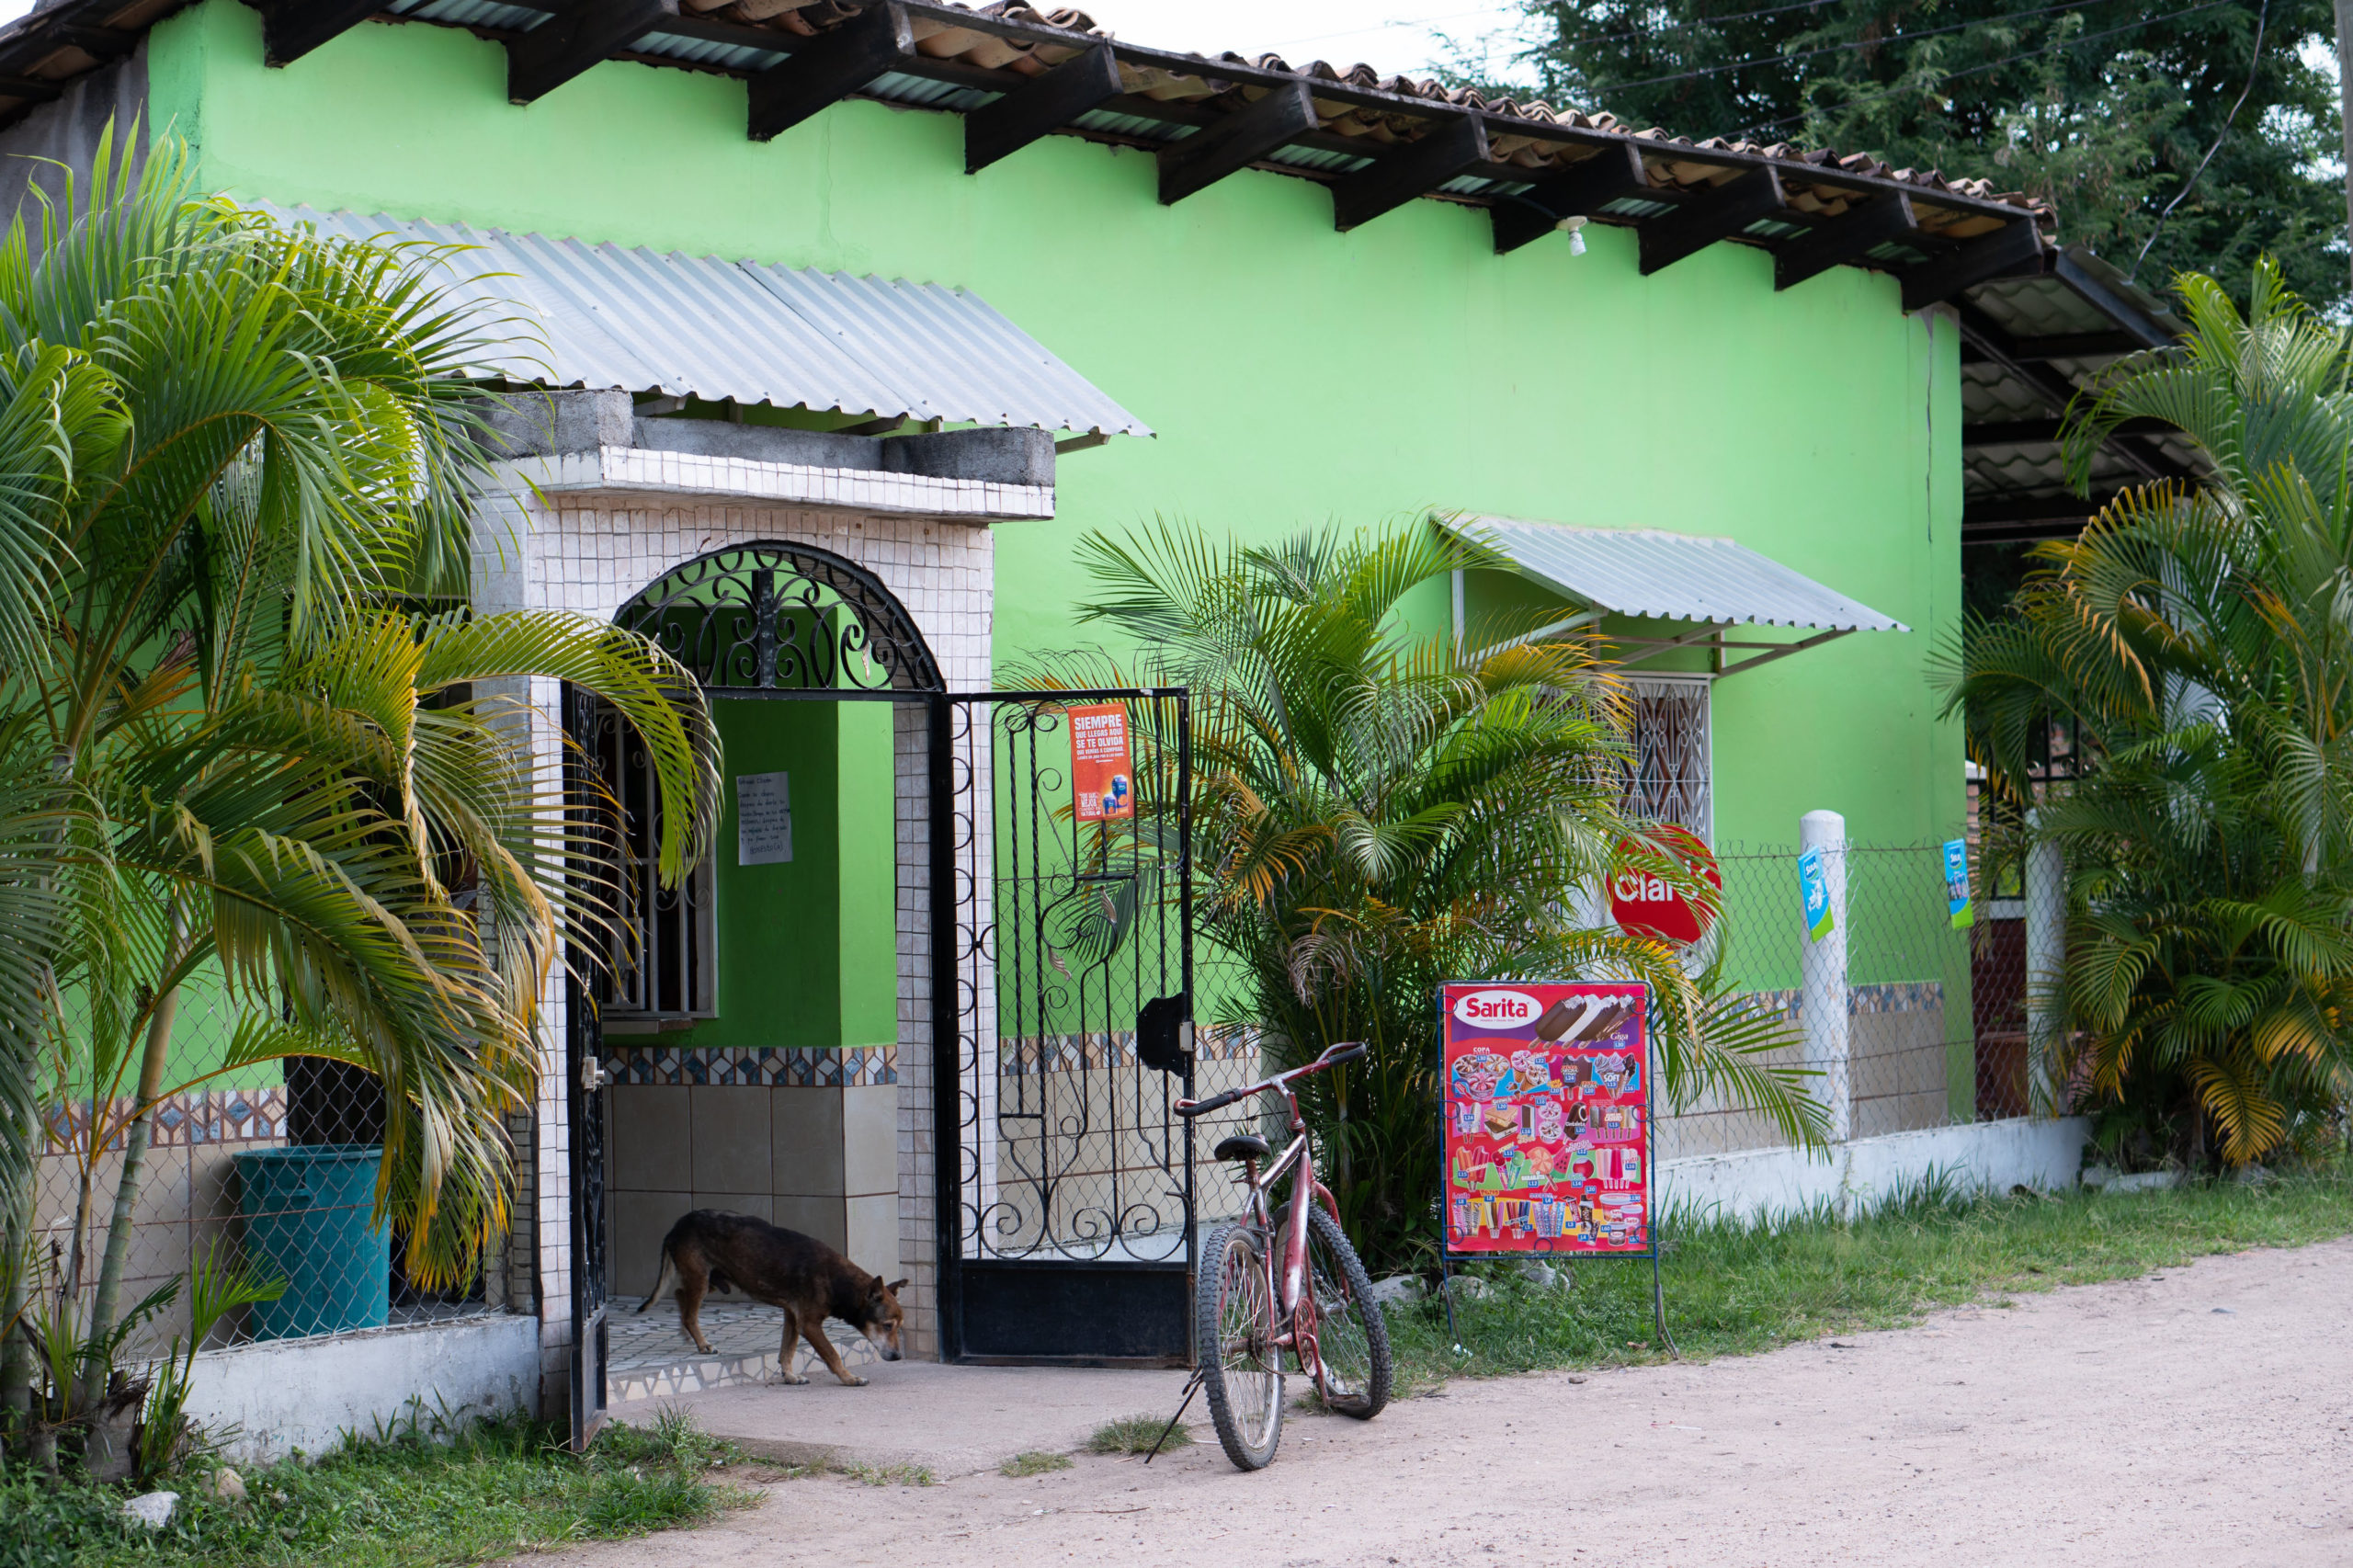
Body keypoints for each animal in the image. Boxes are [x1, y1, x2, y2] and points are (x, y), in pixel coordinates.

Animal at [640, 1205, 904, 1384]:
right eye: (887, 1326)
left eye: (898, 1327)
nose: (899, 1356)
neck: (837, 1280)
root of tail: (677, 1225)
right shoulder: (809, 1324)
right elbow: (832, 1354)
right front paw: (849, 1378)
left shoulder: (792, 1316)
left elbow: (787, 1350)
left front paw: (789, 1375)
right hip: (701, 1279)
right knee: (688, 1308)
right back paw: (701, 1342)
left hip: (713, 1278)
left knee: (680, 1294)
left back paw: (687, 1333)